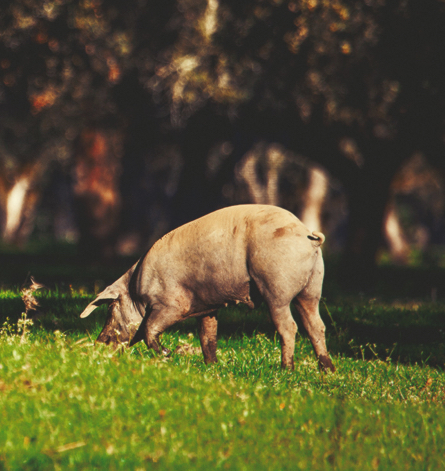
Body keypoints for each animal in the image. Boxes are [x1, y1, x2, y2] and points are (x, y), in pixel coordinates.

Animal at [80, 205, 334, 374]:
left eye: (111, 308)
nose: (98, 344)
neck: (136, 291)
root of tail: (307, 235)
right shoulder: (208, 307)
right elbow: (208, 336)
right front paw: (211, 366)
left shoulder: (172, 304)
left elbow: (150, 328)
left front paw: (167, 354)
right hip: (313, 287)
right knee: (316, 325)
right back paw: (327, 369)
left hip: (276, 286)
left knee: (289, 326)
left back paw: (286, 369)